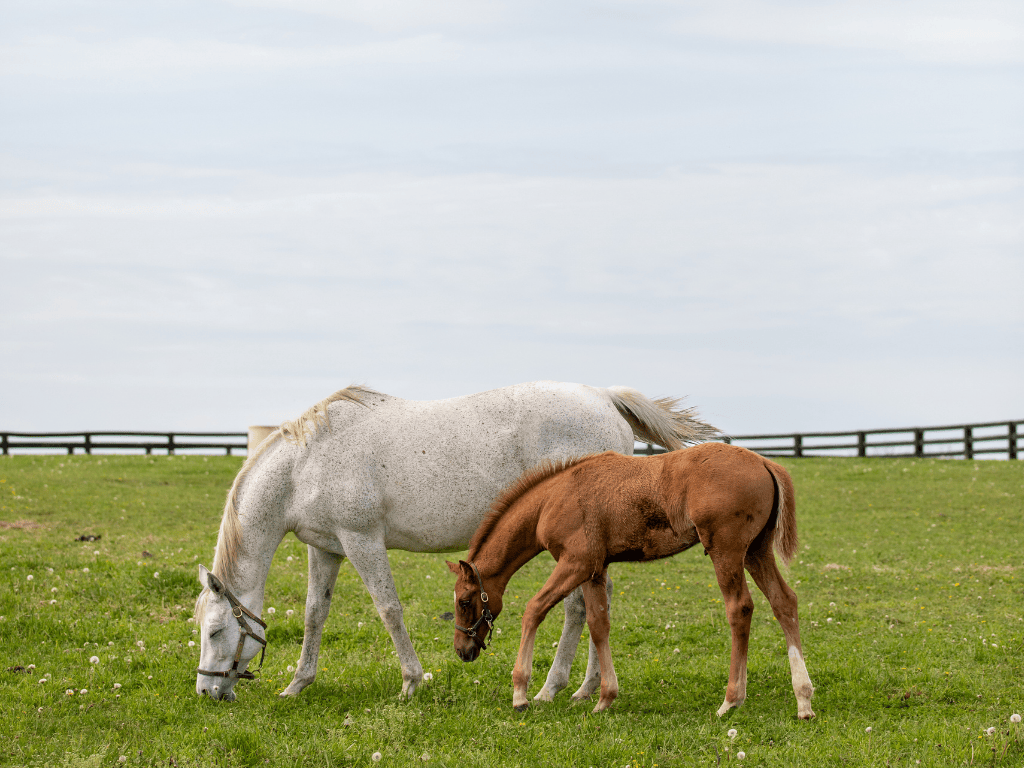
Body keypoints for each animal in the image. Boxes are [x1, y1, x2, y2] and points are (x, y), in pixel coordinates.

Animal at [193, 380, 720, 704]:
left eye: (216, 632)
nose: (206, 692)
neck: (307, 463)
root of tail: (603, 398)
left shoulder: (362, 540)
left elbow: (389, 609)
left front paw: (411, 682)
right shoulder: (325, 548)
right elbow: (314, 614)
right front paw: (297, 684)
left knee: (576, 607)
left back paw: (552, 688)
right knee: (597, 601)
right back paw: (587, 688)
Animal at [448, 442, 815, 720]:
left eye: (465, 601)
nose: (462, 651)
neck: (552, 499)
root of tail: (765, 461)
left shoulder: (576, 563)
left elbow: (534, 609)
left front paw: (521, 693)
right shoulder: (594, 570)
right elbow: (599, 624)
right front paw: (604, 698)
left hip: (727, 551)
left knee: (740, 609)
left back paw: (731, 700)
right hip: (756, 551)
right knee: (784, 602)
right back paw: (803, 699)